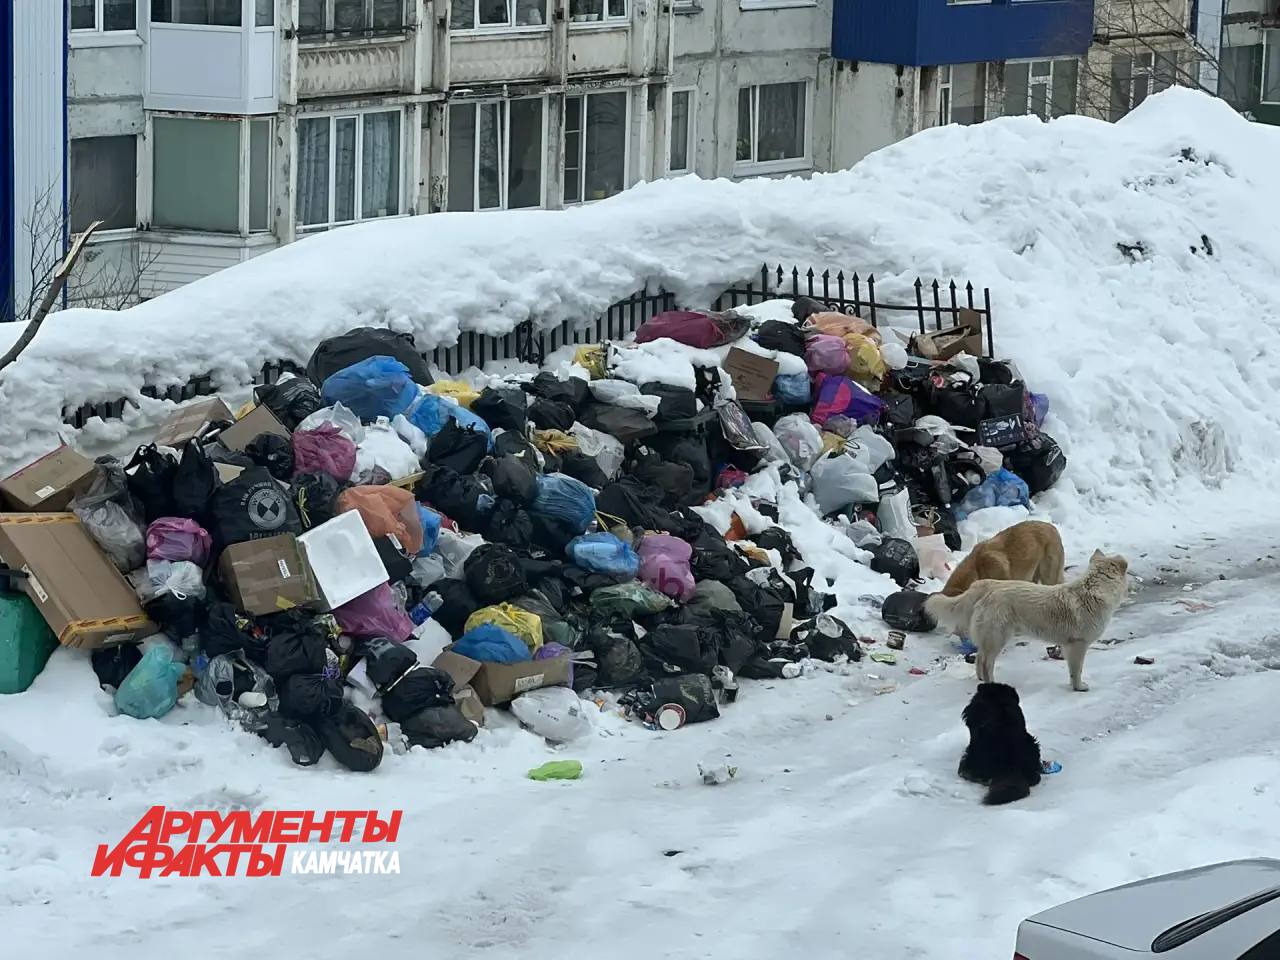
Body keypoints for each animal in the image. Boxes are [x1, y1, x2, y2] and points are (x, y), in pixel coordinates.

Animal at [926, 550, 1129, 691]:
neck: (1094, 589)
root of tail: (986, 586)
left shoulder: (1069, 645)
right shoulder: (1078, 644)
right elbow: (1076, 670)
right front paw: (1078, 687)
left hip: (990, 637)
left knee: (979, 659)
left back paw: (982, 680)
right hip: (997, 637)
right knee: (985, 662)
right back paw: (992, 684)